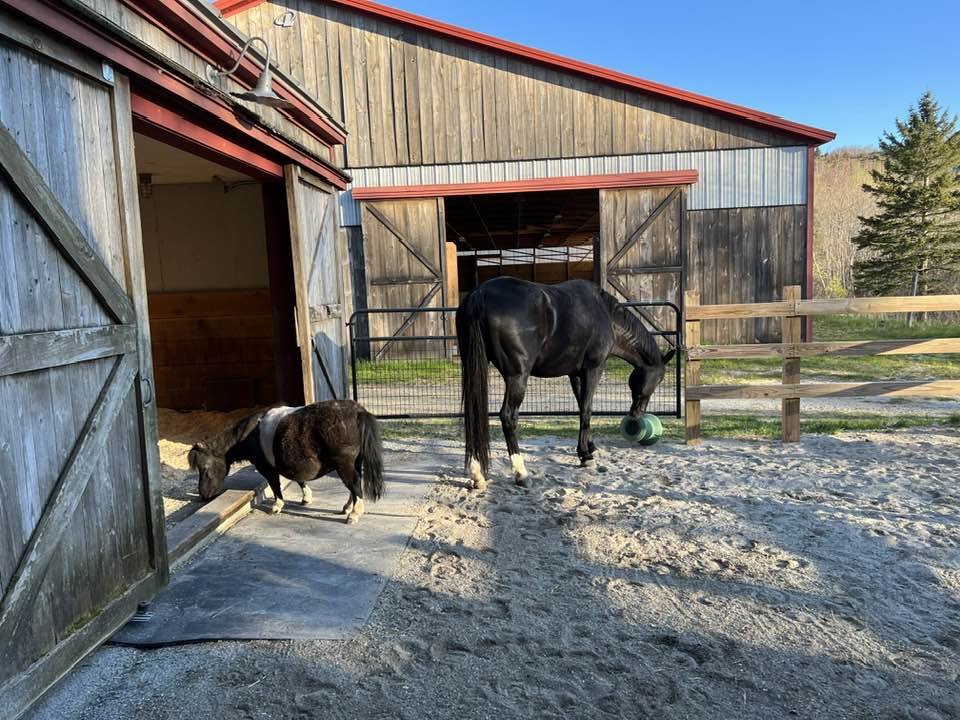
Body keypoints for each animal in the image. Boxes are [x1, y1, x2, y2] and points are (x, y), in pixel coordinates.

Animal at [188, 400, 384, 524]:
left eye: (205, 469)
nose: (203, 495)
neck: (248, 434)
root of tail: (358, 411)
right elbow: (299, 479)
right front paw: (306, 498)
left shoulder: (266, 468)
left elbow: (275, 486)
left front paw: (277, 506)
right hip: (354, 462)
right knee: (354, 485)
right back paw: (347, 508)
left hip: (344, 464)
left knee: (354, 484)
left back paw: (354, 514)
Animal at [456, 277, 675, 491]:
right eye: (659, 379)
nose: (637, 415)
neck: (605, 313)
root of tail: (480, 294)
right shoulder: (593, 370)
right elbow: (587, 410)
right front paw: (586, 457)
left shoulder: (575, 374)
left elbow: (581, 408)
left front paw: (589, 448)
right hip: (517, 377)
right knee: (508, 417)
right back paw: (521, 474)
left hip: (474, 368)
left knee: (473, 415)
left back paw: (477, 475)